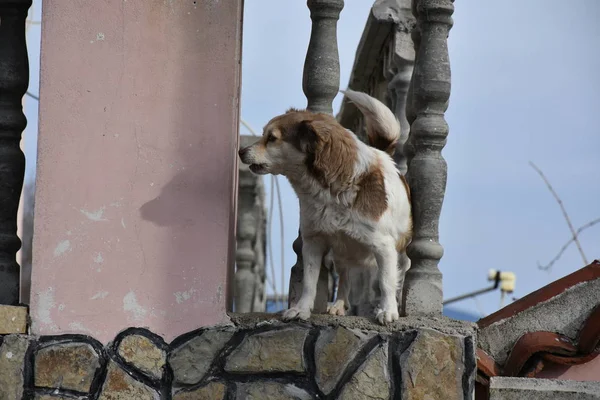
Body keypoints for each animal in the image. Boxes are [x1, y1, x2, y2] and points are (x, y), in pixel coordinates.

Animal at [239, 89, 412, 324]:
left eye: (272, 138)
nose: (241, 151)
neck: (330, 192)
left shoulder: (384, 247)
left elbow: (386, 282)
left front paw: (387, 310)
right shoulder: (313, 241)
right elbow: (309, 282)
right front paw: (301, 309)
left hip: (397, 250)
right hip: (342, 253)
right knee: (345, 279)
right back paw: (339, 305)